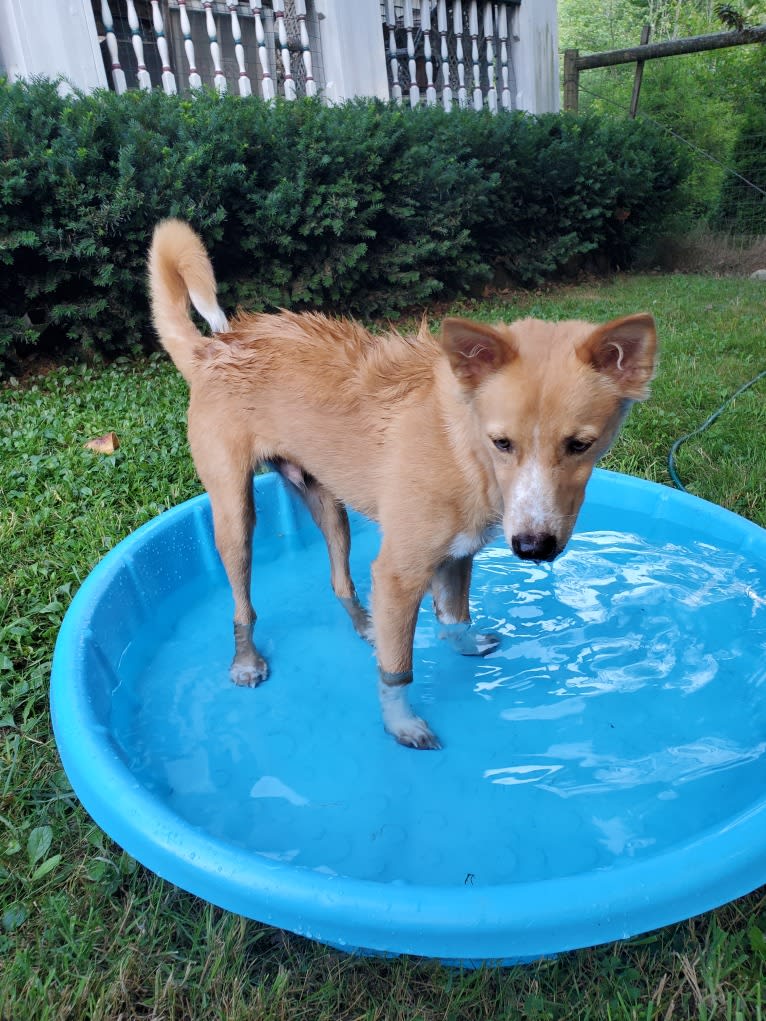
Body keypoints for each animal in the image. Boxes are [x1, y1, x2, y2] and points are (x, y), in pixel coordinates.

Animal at [150, 221, 661, 751]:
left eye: (581, 445)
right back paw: (247, 659)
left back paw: (367, 625)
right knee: (242, 603)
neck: (460, 443)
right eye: (501, 442)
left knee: (340, 578)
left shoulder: (456, 555)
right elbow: (397, 672)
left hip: (328, 504)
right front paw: (400, 724)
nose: (533, 548)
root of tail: (212, 350)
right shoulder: (399, 572)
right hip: (235, 515)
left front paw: (465, 646)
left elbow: (454, 623)